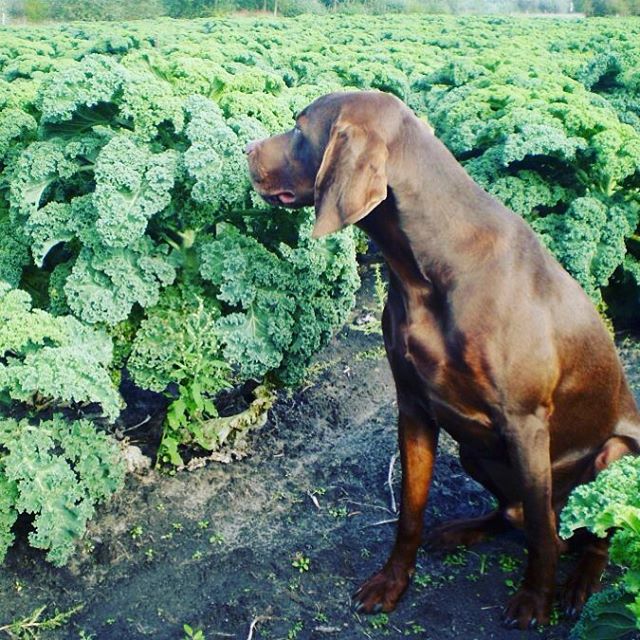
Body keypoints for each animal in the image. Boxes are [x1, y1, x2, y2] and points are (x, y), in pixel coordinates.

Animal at [244, 90, 640, 632]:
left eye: (300, 129)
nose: (245, 149)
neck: (427, 268)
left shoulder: (526, 424)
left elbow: (541, 538)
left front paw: (535, 600)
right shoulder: (414, 405)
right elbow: (410, 513)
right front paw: (392, 583)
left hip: (612, 455)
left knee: (578, 528)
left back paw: (579, 582)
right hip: (475, 450)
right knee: (518, 513)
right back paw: (462, 530)